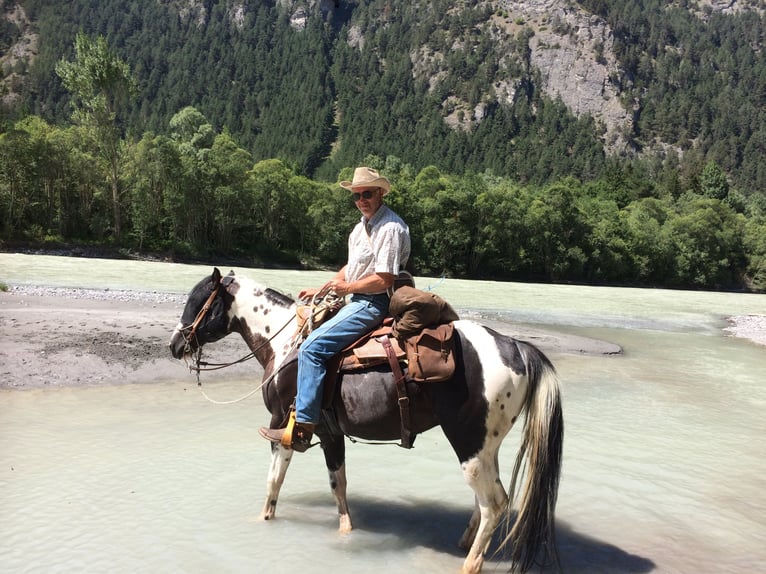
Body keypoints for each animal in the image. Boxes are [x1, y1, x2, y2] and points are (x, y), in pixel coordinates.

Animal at [168, 270, 564, 574]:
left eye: (198, 301)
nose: (174, 345)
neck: (285, 346)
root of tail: (517, 347)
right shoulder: (330, 433)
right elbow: (338, 485)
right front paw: (345, 532)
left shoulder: (282, 425)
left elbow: (273, 482)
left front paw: (264, 522)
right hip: (484, 447)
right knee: (489, 500)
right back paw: (464, 542)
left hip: (468, 445)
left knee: (494, 503)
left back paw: (469, 564)